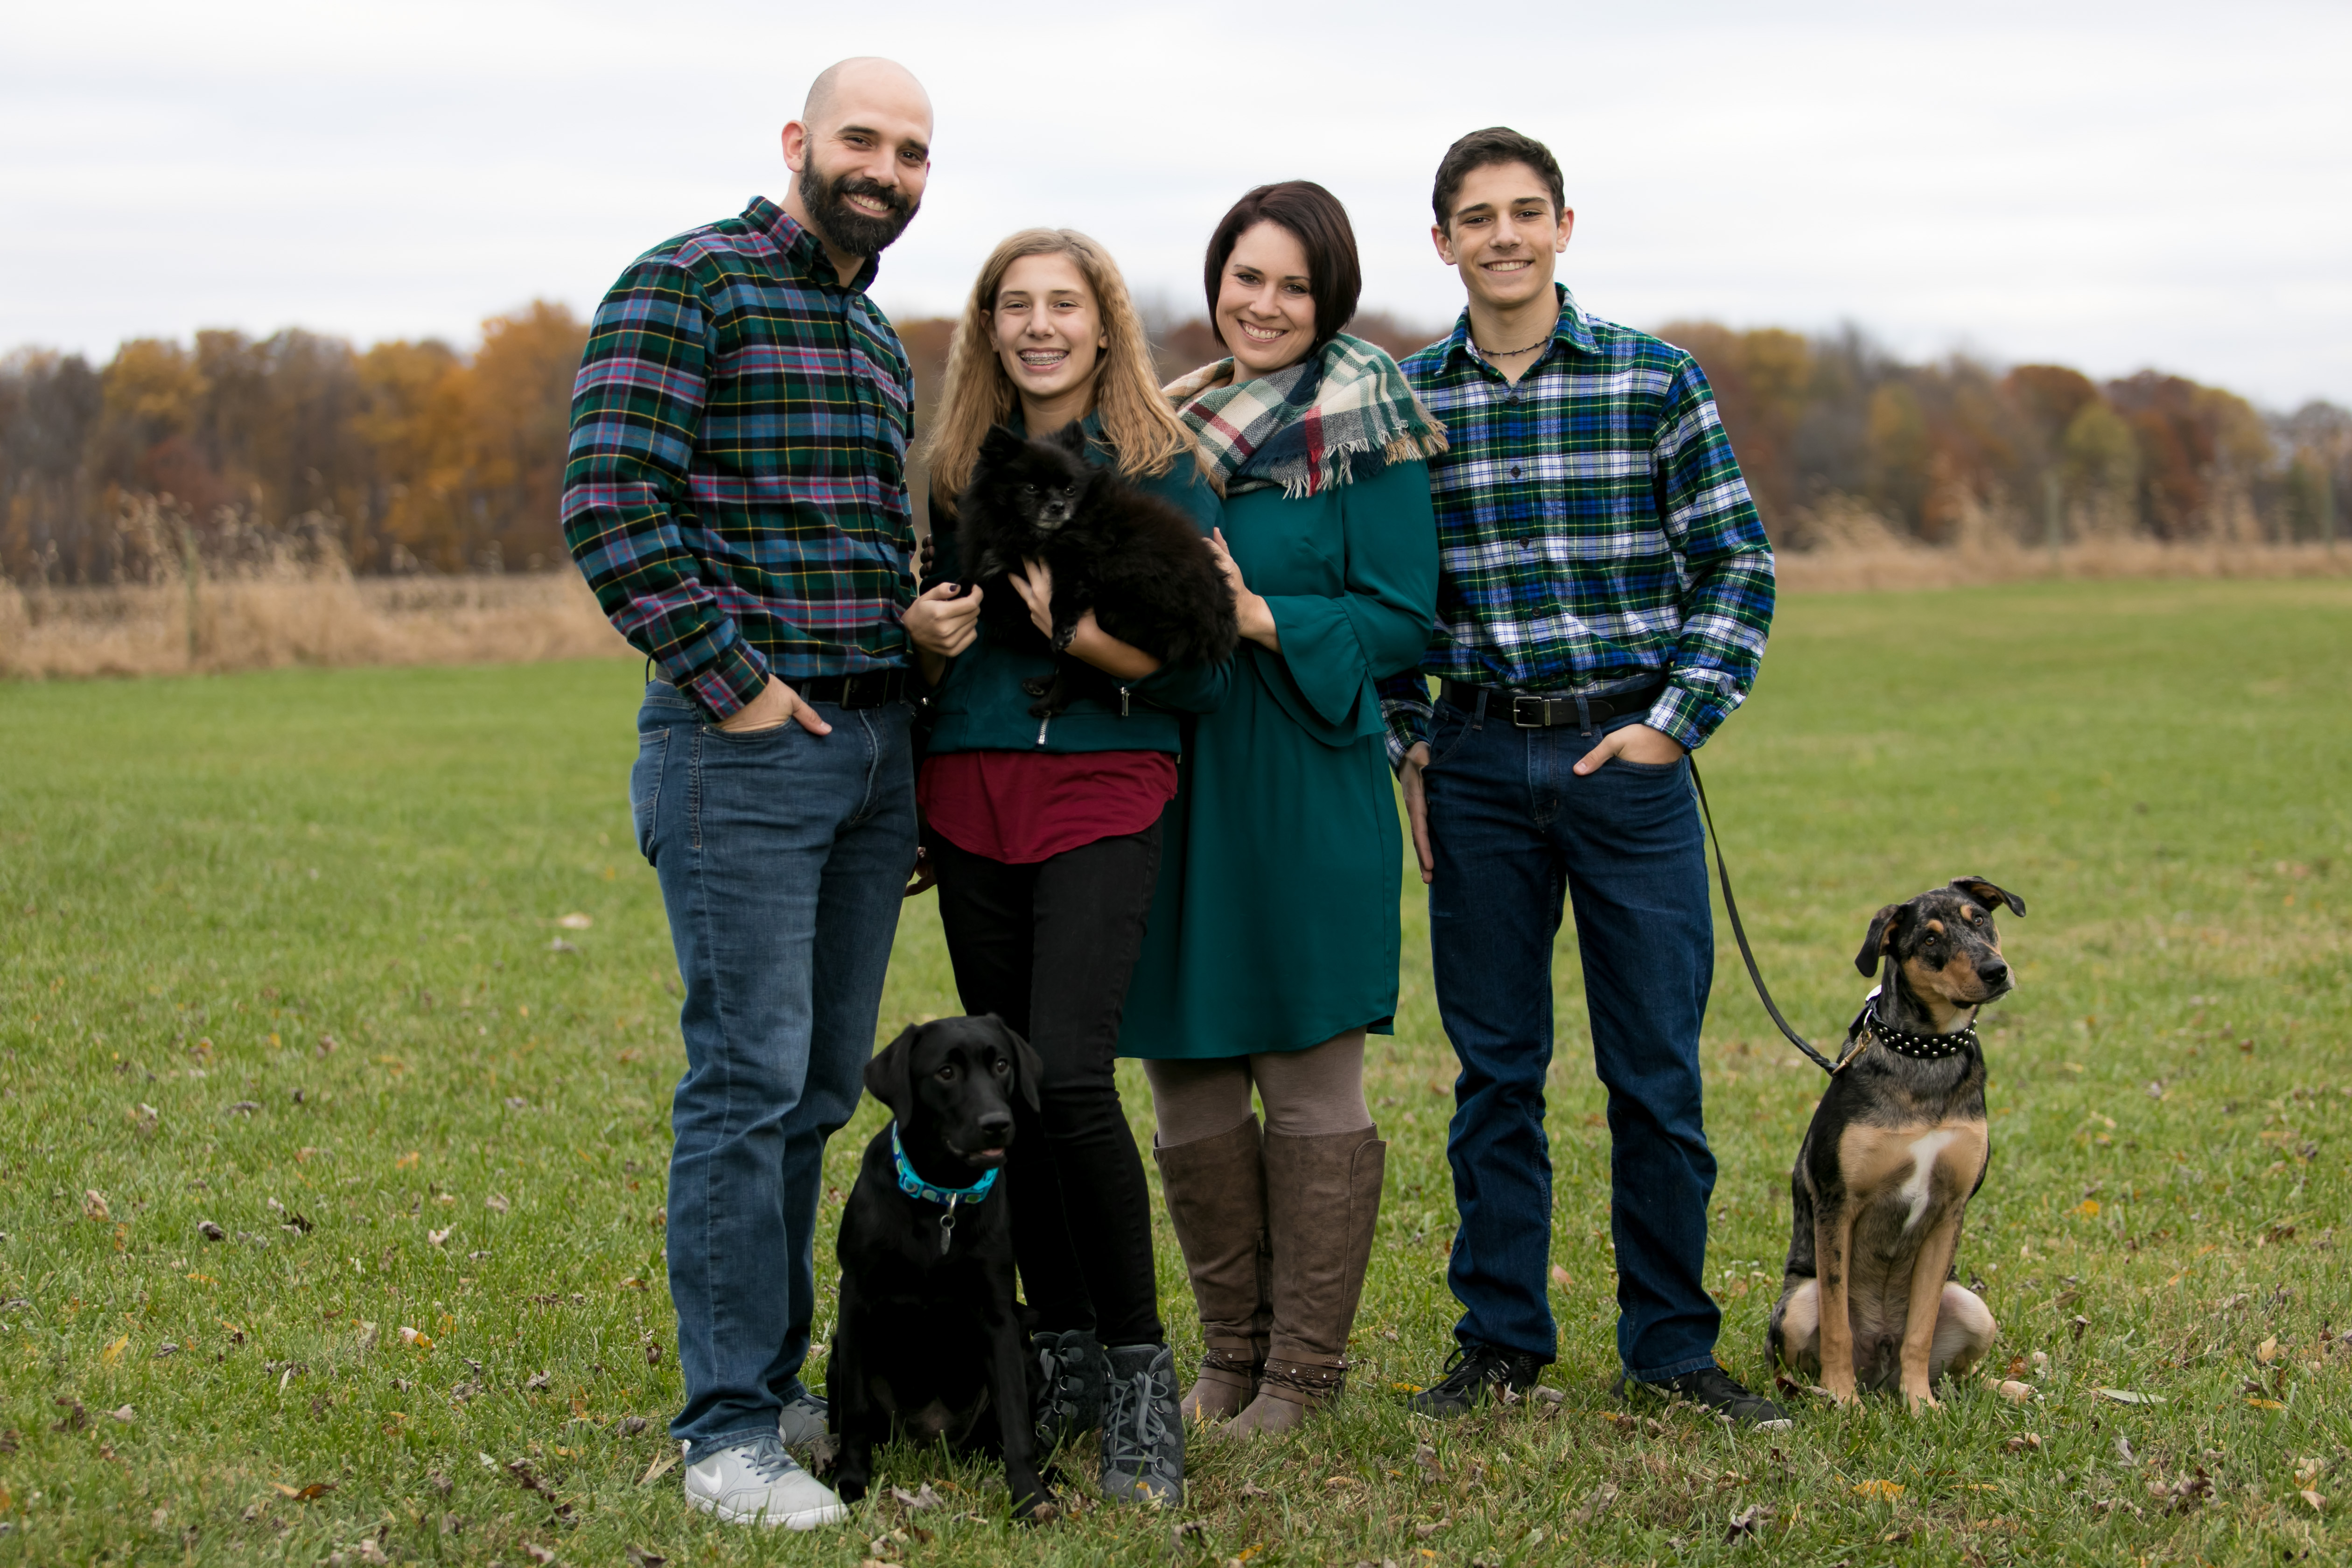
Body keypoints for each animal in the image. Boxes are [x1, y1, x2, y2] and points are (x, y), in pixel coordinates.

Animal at [828, 1020, 1049, 1523]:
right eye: (946, 1072)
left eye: (1002, 1065)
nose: (998, 1123)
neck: (942, 1201)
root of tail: (931, 1439)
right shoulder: (856, 1301)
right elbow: (855, 1410)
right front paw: (851, 1482)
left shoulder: (1000, 1318)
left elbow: (1016, 1421)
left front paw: (1031, 1497)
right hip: (835, 1355)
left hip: (1026, 1346)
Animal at [955, 430, 1251, 724]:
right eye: (1031, 489)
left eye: (1070, 490)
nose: (1058, 506)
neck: (1038, 535)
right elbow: (973, 583)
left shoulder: (1078, 567)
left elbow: (1062, 602)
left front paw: (1063, 629)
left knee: (1080, 667)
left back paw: (1051, 701)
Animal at [1769, 879, 2023, 1401]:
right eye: (1929, 940)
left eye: (1979, 920)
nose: (1996, 971)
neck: (1926, 1057)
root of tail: (1879, 1375)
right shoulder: (1837, 1204)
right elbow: (1838, 1323)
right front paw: (1843, 1400)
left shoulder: (1950, 1208)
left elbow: (1920, 1332)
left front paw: (1921, 1405)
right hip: (1799, 1304)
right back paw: (1827, 1393)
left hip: (1973, 1309)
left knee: (1955, 1372)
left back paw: (2002, 1387)